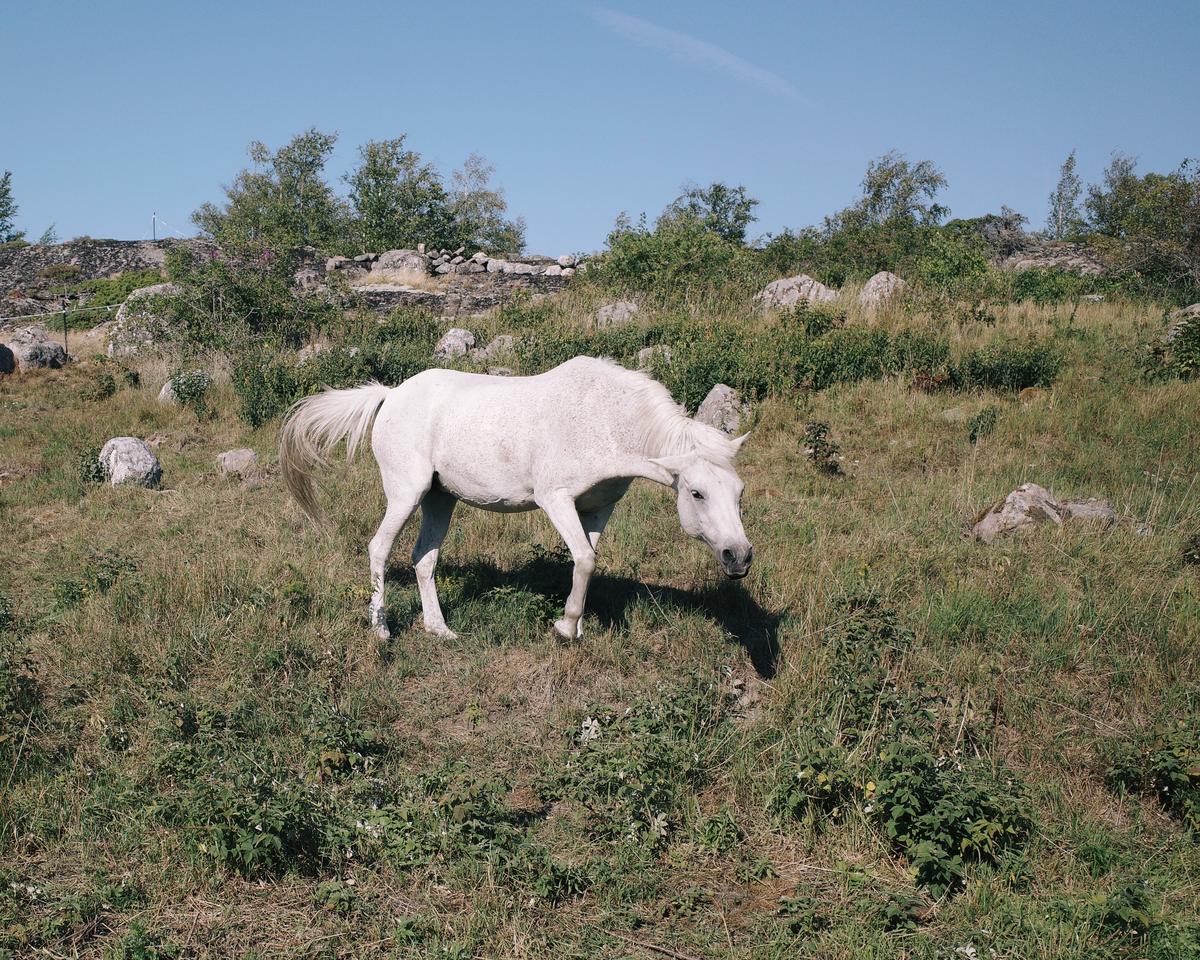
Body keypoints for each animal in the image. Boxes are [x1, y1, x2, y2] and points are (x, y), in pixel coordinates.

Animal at [277, 355, 753, 643]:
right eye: (696, 492)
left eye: (739, 492)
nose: (739, 557)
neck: (604, 420)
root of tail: (391, 394)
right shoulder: (555, 499)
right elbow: (584, 559)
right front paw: (565, 627)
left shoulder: (597, 509)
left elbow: (587, 561)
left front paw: (576, 625)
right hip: (405, 494)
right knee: (379, 548)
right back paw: (382, 630)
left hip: (439, 499)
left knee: (423, 559)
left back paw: (439, 629)